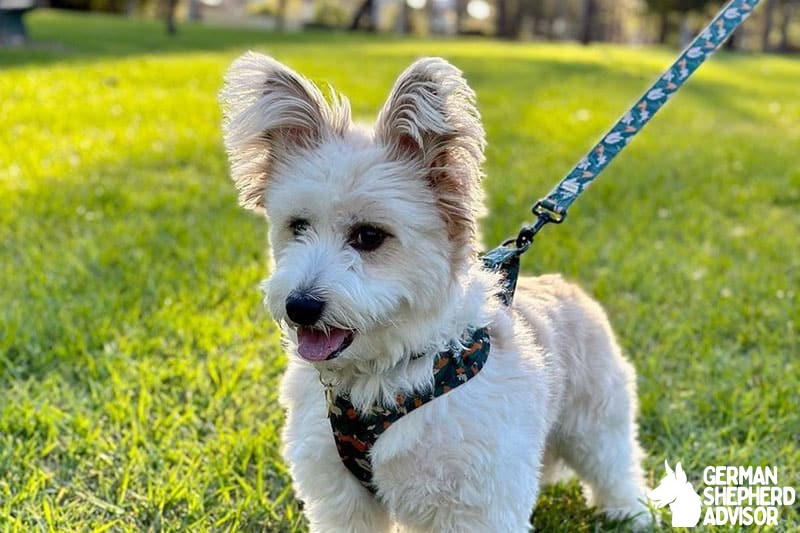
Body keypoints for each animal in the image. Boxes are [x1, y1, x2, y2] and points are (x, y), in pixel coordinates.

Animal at [219, 54, 648, 532]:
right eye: (298, 226)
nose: (300, 306)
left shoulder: (479, 504)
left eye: (369, 236)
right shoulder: (341, 497)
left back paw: (631, 512)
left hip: (596, 422)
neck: (383, 377)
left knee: (615, 465)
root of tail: (566, 286)